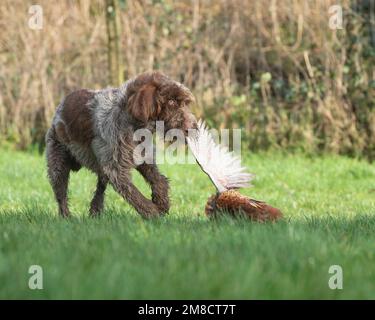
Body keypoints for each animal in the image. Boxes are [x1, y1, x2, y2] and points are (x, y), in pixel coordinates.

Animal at [46, 71, 198, 219]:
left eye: (185, 103)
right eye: (171, 101)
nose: (194, 127)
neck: (135, 126)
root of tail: (62, 104)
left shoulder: (142, 158)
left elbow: (159, 180)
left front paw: (162, 202)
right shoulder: (117, 170)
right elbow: (135, 195)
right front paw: (153, 212)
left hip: (101, 166)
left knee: (99, 189)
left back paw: (95, 212)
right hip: (58, 164)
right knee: (61, 196)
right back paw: (66, 217)